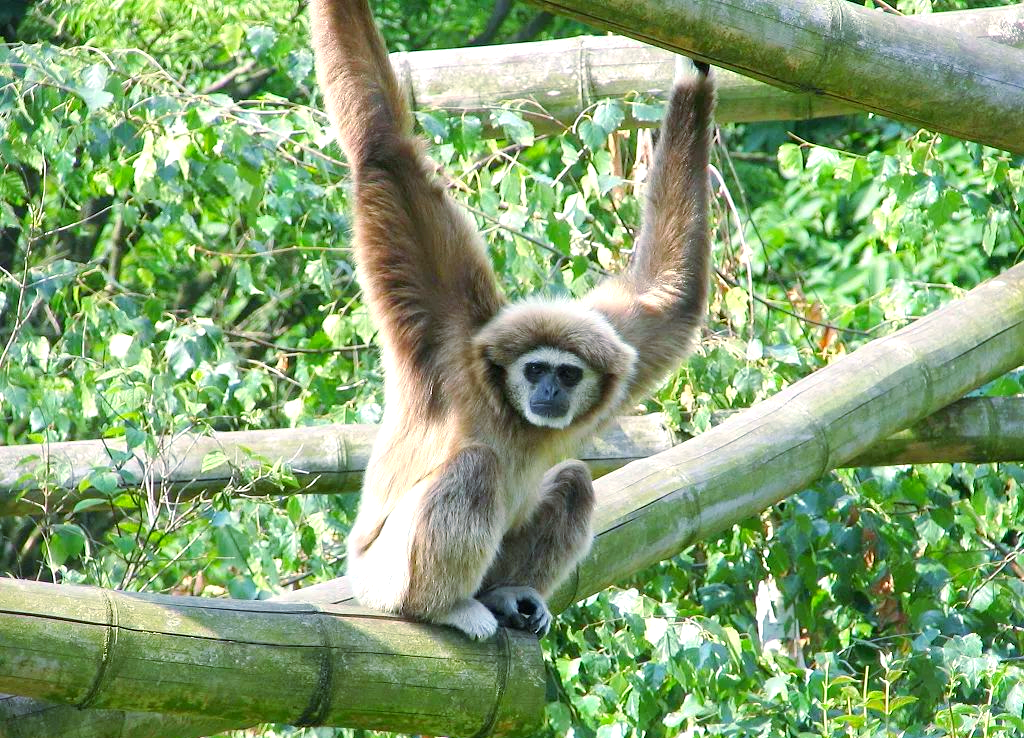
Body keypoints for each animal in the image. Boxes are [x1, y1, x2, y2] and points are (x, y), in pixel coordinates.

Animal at [309, 0, 715, 640]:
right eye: (534, 370)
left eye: (568, 374)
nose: (550, 391)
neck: (507, 408)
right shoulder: (449, 333)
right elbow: (384, 149)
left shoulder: (621, 345)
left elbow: (668, 297)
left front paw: (693, 72)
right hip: (381, 579)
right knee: (476, 469)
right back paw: (446, 606)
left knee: (573, 482)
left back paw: (507, 594)